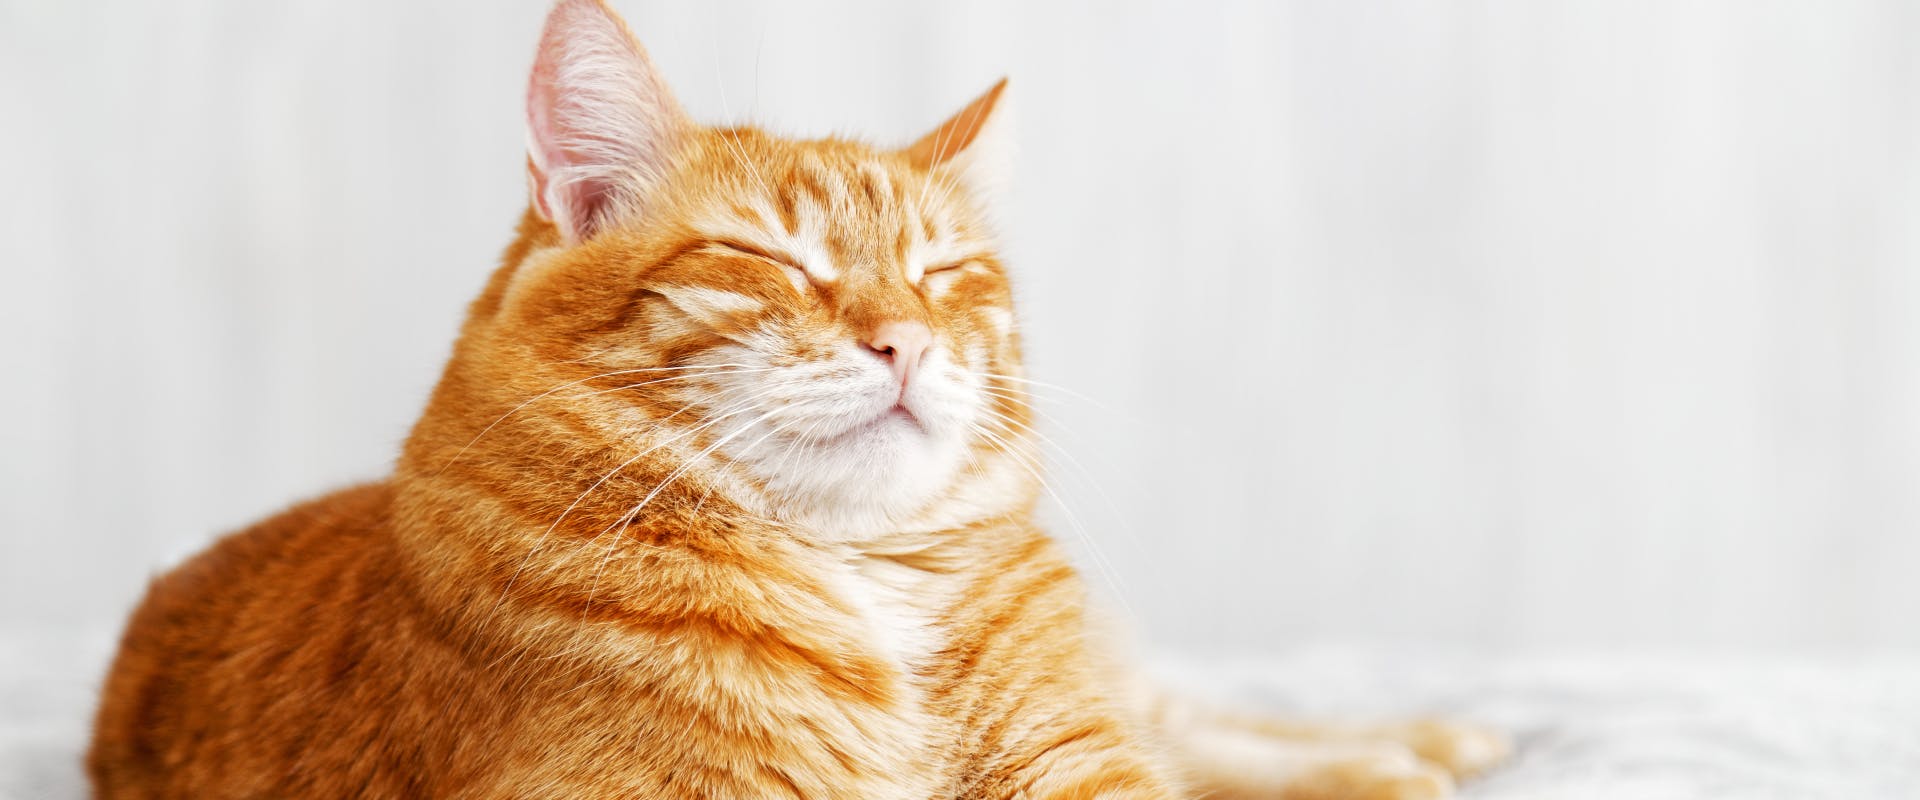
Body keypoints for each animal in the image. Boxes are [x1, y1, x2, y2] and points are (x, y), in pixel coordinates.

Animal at [86, 3, 1497, 794]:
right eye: (772, 260)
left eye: (942, 273)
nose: (905, 340)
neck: (864, 580)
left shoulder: (1076, 754)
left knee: (1196, 718)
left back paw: (1420, 745)